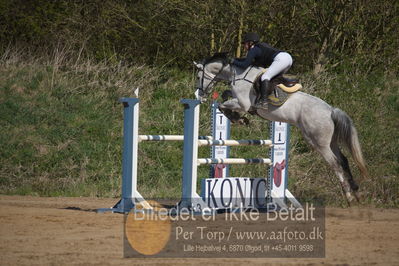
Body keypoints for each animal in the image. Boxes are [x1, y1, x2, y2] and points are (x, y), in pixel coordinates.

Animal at [194, 54, 368, 204]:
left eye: (198, 77)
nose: (199, 95)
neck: (238, 75)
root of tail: (331, 110)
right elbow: (225, 96)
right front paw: (240, 118)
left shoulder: (243, 104)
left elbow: (223, 105)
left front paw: (239, 119)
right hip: (331, 142)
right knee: (344, 160)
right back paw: (356, 192)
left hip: (319, 143)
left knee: (336, 164)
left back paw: (348, 196)